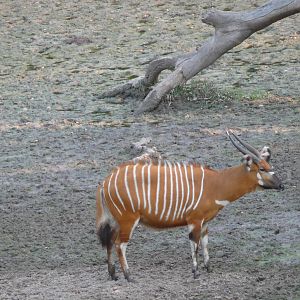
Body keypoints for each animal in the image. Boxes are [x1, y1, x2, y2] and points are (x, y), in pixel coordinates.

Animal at [95, 131, 284, 282]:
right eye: (261, 168)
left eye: (269, 166)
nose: (281, 185)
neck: (215, 184)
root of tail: (105, 182)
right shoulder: (195, 220)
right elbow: (195, 244)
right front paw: (196, 272)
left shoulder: (205, 222)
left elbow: (205, 242)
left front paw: (208, 268)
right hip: (128, 220)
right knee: (120, 245)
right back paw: (129, 276)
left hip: (116, 221)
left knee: (110, 242)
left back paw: (113, 275)